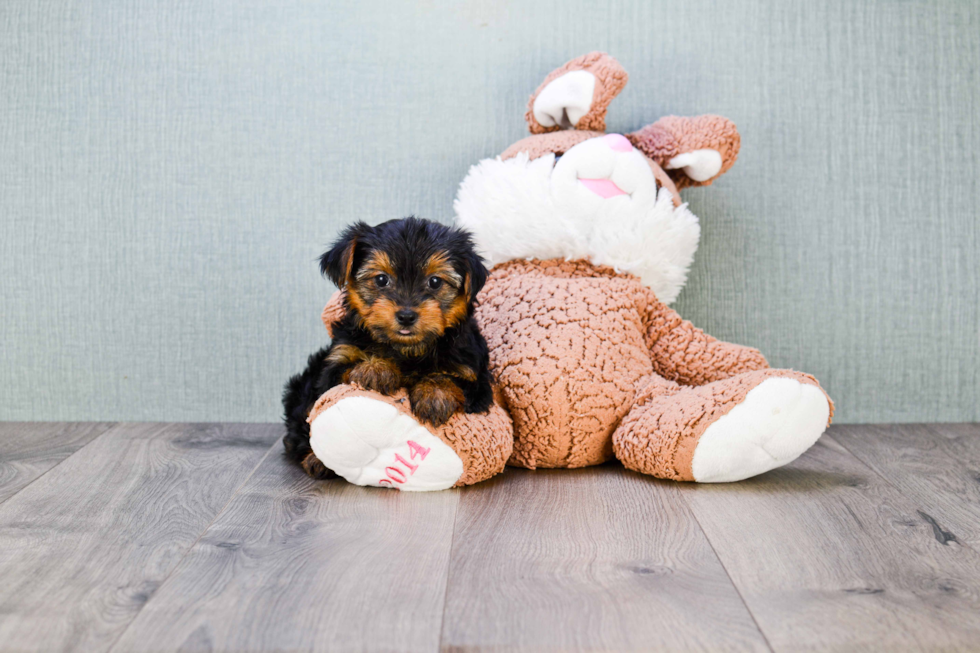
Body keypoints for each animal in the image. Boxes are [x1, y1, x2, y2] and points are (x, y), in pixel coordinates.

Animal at [284, 216, 498, 476]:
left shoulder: (474, 377)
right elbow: (343, 374)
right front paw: (375, 369)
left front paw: (435, 394)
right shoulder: (335, 364)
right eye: (381, 279)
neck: (406, 348)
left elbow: (451, 378)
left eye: (435, 282)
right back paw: (316, 459)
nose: (406, 315)